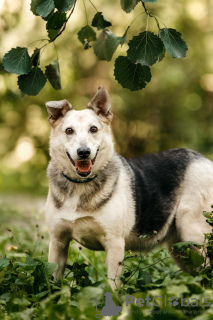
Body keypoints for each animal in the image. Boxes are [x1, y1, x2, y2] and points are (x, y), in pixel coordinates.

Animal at [45, 86, 213, 288]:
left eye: (93, 129)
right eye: (69, 131)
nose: (84, 152)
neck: (80, 184)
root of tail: (204, 159)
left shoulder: (114, 244)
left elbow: (113, 287)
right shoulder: (58, 242)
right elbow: (53, 282)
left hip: (193, 234)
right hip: (181, 249)